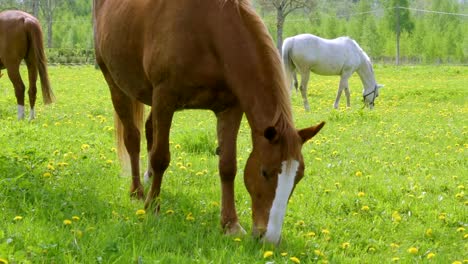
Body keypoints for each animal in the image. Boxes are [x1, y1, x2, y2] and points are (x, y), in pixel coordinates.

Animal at [93, 0, 324, 244]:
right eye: (264, 172)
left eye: (299, 176)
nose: (269, 238)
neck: (209, 32)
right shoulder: (165, 98)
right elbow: (160, 157)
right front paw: (153, 208)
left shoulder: (230, 108)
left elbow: (228, 166)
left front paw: (230, 224)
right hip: (116, 85)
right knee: (133, 139)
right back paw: (137, 192)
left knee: (148, 132)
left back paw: (148, 179)